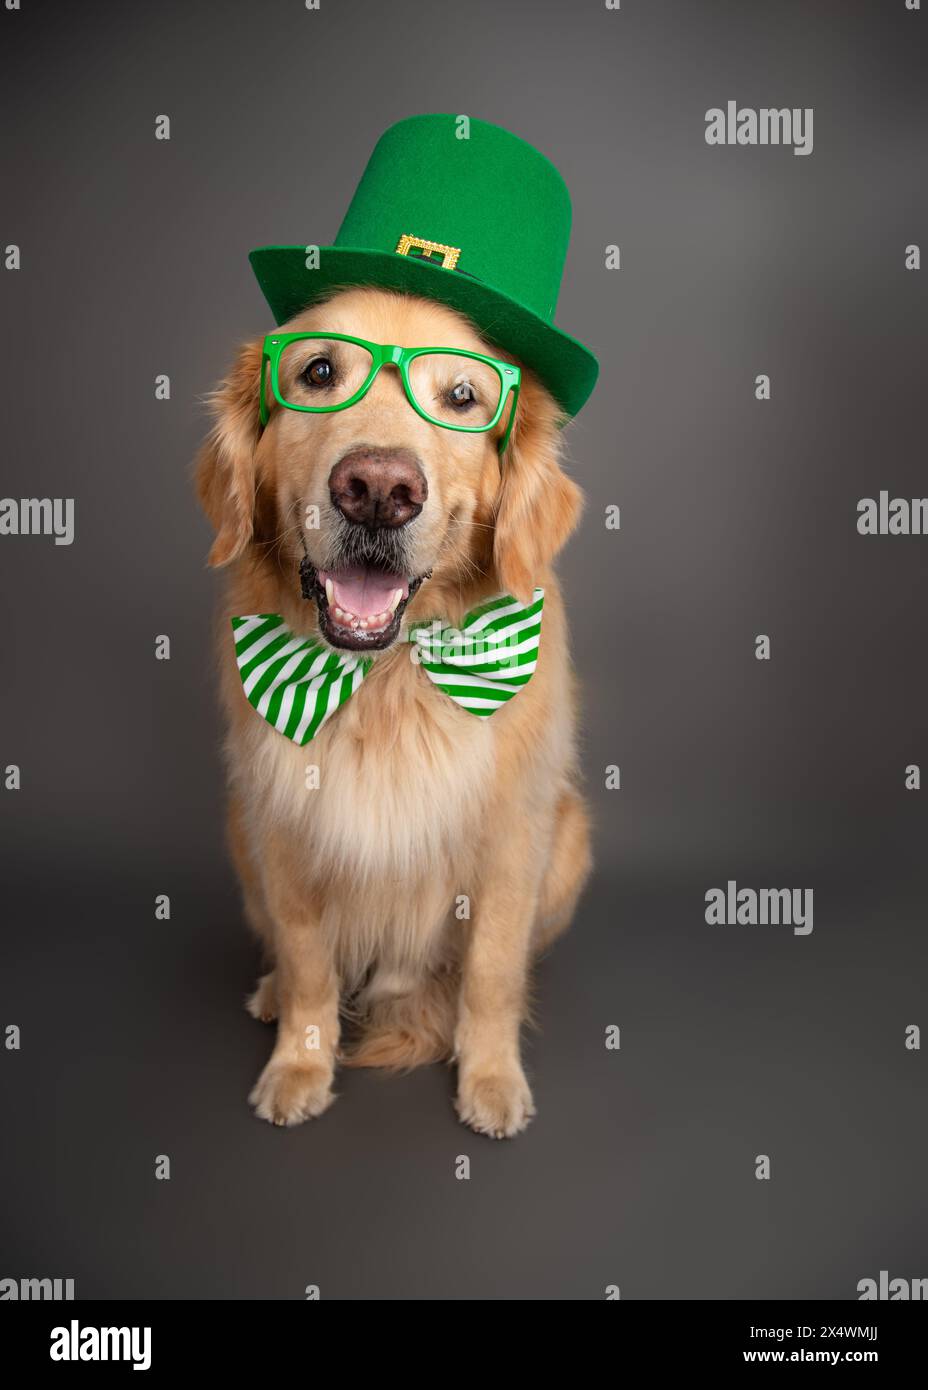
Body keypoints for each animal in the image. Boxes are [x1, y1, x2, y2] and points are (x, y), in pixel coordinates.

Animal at [195, 284, 591, 1139]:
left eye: (464, 397)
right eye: (317, 372)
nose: (378, 489)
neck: (385, 678)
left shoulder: (513, 842)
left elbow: (491, 973)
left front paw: (491, 1077)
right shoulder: (283, 831)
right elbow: (309, 965)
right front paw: (300, 1063)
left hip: (571, 840)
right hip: (241, 834)